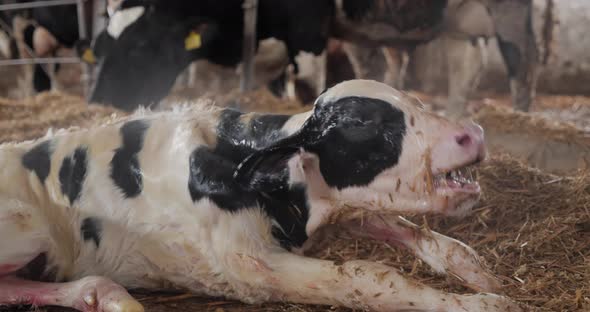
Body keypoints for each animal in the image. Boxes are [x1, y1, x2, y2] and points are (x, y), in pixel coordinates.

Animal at [0, 80, 528, 312]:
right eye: (362, 122)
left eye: (415, 99)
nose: (473, 133)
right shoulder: (251, 266)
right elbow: (369, 276)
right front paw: (483, 305)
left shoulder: (330, 210)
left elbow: (421, 235)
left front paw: (482, 275)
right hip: (26, 228)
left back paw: (105, 296)